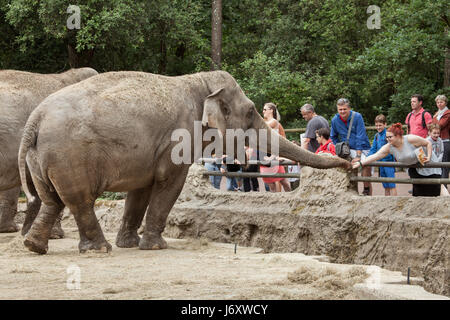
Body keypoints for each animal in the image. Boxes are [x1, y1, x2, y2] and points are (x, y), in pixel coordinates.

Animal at [18, 70, 352, 255]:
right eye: (250, 111)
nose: (348, 159)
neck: (199, 81)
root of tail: (35, 119)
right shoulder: (178, 137)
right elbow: (170, 183)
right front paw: (156, 247)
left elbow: (141, 189)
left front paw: (131, 244)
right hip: (68, 155)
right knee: (79, 200)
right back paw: (99, 249)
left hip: (45, 158)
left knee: (54, 199)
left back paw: (35, 246)